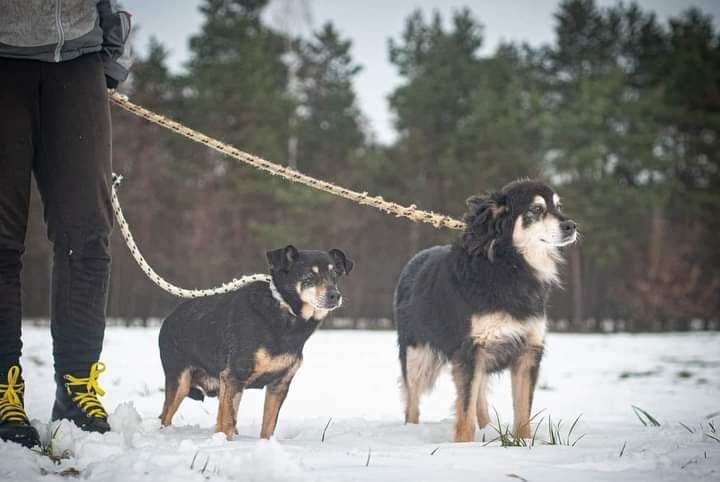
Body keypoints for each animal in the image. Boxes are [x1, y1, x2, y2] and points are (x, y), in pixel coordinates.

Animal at [161, 247, 358, 438]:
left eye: (335, 275)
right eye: (309, 276)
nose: (335, 295)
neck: (285, 312)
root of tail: (169, 317)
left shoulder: (279, 385)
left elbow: (268, 427)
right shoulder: (234, 376)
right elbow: (227, 423)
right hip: (180, 382)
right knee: (166, 416)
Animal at [394, 180, 580, 440]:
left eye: (558, 206)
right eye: (536, 209)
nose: (571, 226)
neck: (509, 266)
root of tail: (413, 261)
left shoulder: (528, 350)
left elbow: (522, 410)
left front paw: (524, 441)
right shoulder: (470, 349)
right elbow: (464, 411)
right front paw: (464, 445)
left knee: (479, 397)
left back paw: (487, 428)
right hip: (417, 356)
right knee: (412, 402)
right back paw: (411, 430)